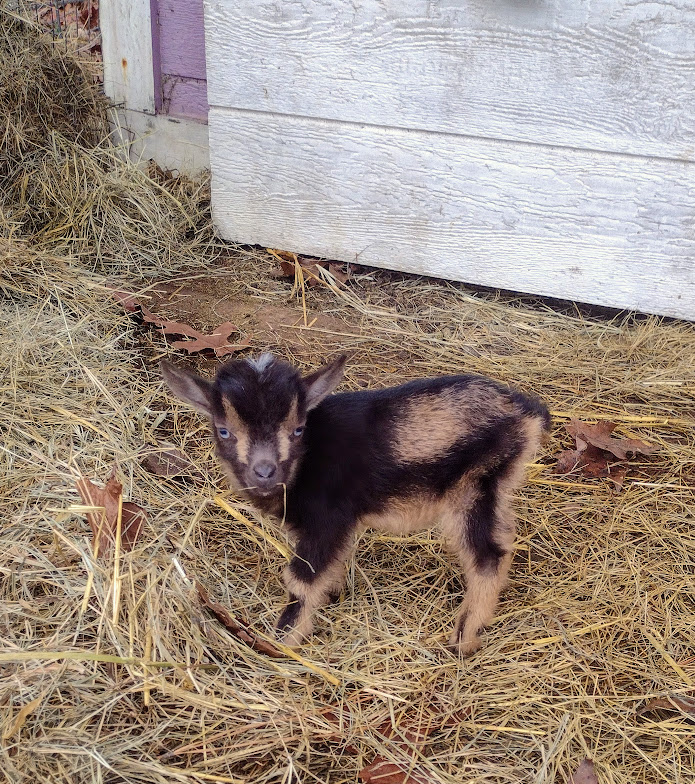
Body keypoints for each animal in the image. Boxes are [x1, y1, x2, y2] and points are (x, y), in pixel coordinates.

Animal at [163, 352, 548, 652]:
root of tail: (527, 412)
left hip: (474, 486)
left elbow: (301, 579)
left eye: (298, 429)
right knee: (504, 539)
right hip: (495, 486)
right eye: (223, 430)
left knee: (488, 556)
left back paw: (464, 638)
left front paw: (281, 642)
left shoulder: (328, 519)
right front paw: (332, 594)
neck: (305, 463)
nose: (265, 472)